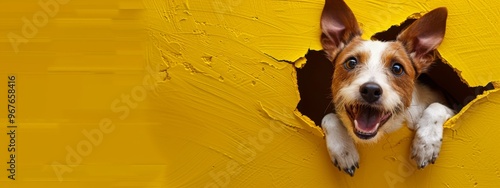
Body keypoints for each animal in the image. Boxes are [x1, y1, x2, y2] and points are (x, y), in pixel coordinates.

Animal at [320, 0, 454, 176]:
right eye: (351, 62)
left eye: (397, 68)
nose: (371, 90)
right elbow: (328, 117)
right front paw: (343, 150)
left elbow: (436, 107)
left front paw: (426, 143)